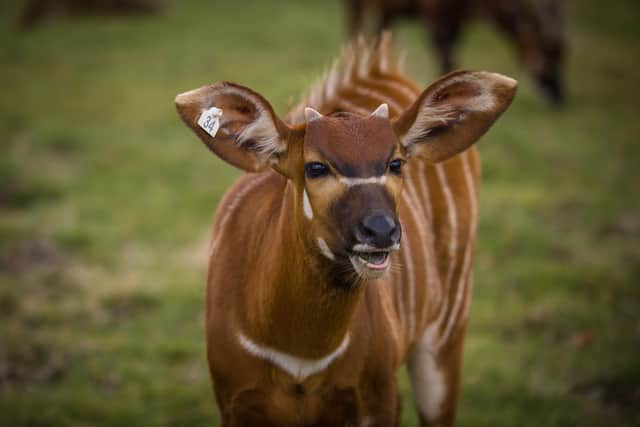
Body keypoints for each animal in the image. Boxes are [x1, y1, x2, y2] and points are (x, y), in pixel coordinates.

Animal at [175, 35, 516, 426]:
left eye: (396, 163)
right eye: (316, 167)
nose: (381, 231)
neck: (301, 357)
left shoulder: (380, 399)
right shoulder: (235, 402)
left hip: (447, 329)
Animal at [346, 0, 566, 105]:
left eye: (563, 55)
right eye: (548, 53)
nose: (558, 97)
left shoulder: (456, 20)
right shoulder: (437, 16)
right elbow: (447, 57)